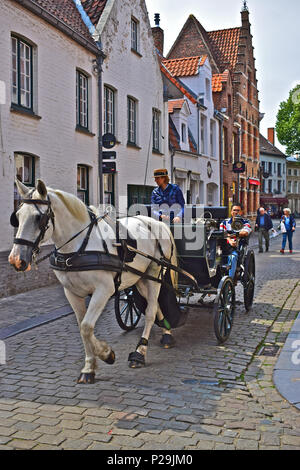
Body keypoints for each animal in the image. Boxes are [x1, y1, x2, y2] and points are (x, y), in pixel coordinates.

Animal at [8, 179, 178, 382]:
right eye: (17, 217)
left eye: (38, 218)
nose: (16, 260)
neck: (80, 246)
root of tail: (157, 223)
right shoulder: (71, 293)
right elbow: (83, 328)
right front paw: (90, 367)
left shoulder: (104, 290)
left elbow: (87, 327)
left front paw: (106, 353)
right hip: (140, 278)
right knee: (155, 305)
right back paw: (167, 333)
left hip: (155, 275)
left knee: (151, 311)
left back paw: (140, 353)